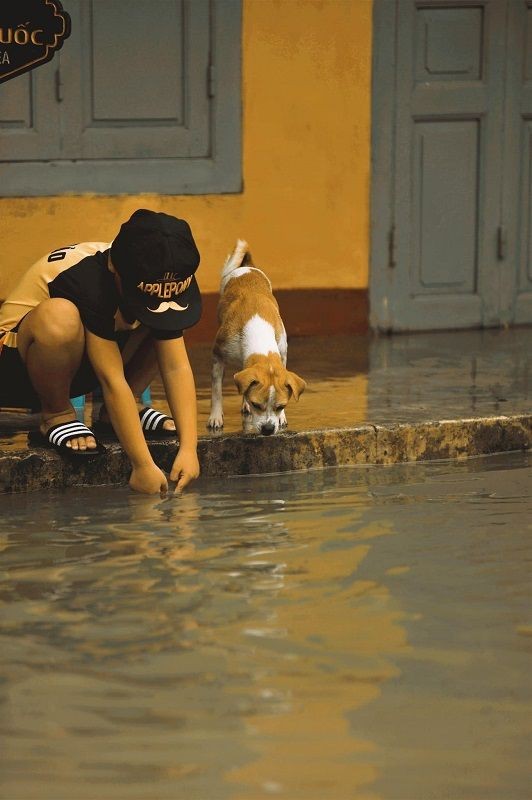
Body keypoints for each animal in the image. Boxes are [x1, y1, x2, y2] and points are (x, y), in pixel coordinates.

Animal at [209, 239, 308, 434]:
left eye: (281, 406)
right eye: (257, 405)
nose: (268, 429)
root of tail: (247, 267)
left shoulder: (282, 353)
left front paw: (282, 417)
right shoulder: (218, 354)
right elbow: (216, 390)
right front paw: (215, 417)